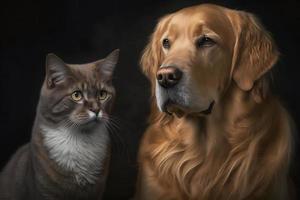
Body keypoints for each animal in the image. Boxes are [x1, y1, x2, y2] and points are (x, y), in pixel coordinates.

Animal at [0, 48, 119, 200]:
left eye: (102, 94)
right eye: (76, 95)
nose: (96, 109)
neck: (80, 139)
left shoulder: (97, 191)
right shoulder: (45, 190)